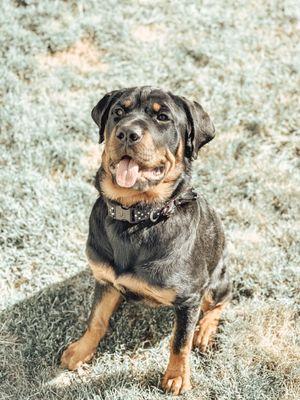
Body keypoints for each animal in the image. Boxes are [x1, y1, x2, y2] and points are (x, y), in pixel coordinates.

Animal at [59, 86, 231, 396]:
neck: (137, 218)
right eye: (118, 112)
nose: (127, 133)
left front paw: (176, 377)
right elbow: (96, 319)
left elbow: (180, 341)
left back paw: (205, 331)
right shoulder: (103, 279)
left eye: (163, 117)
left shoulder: (189, 298)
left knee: (220, 302)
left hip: (218, 278)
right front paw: (80, 351)